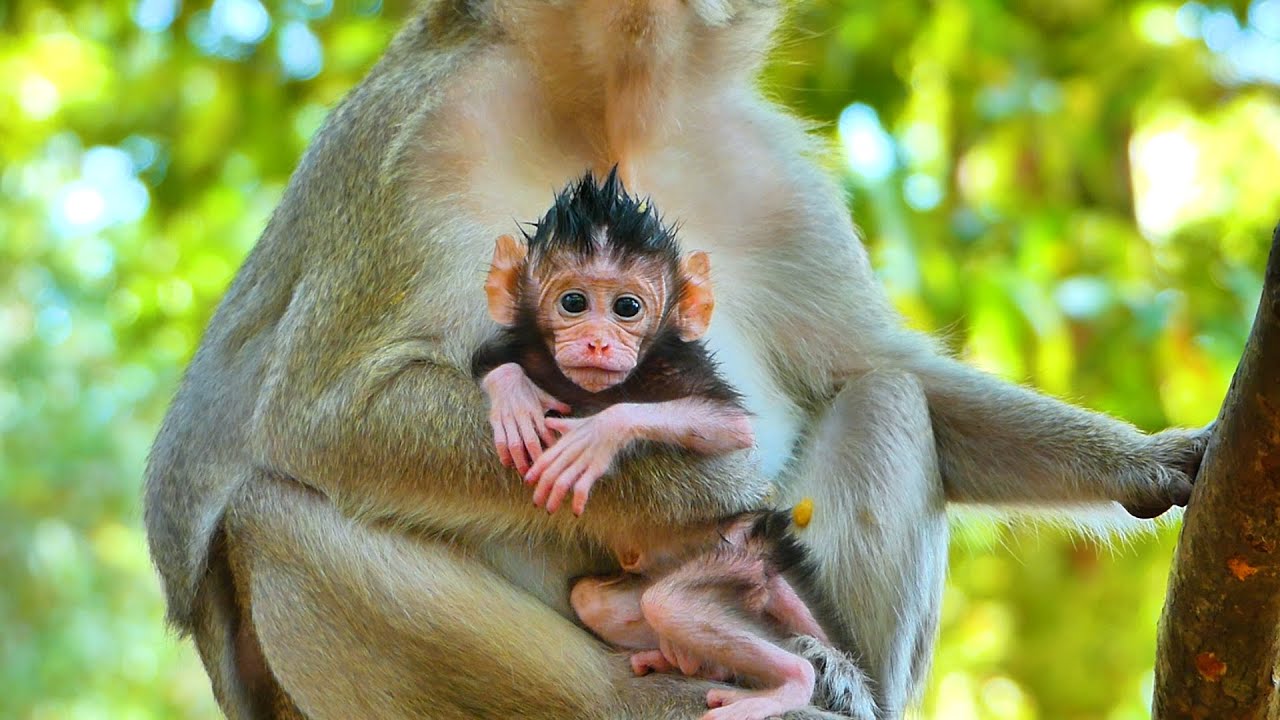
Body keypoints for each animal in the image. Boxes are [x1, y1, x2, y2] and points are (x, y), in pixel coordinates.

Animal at [472, 169, 753, 516]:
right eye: (574, 302)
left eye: (627, 307)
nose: (597, 343)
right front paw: (515, 398)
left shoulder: (679, 365)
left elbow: (731, 424)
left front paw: (598, 433)